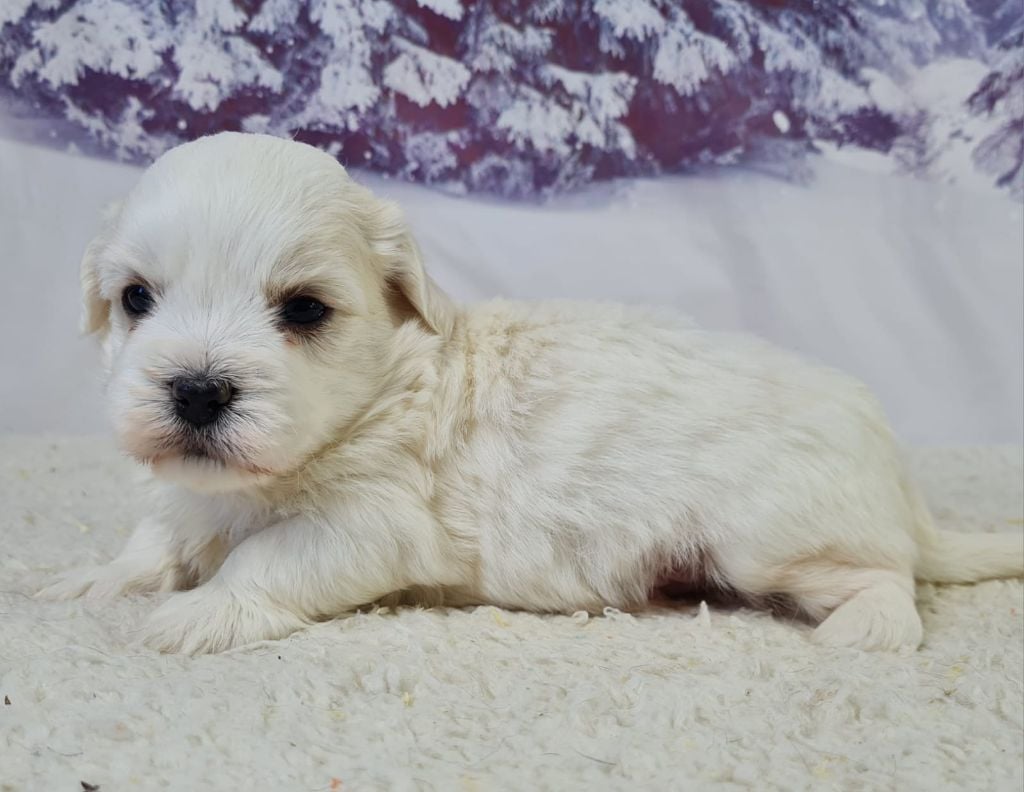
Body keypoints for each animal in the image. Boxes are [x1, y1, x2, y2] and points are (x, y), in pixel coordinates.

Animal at [39, 132, 1023, 654]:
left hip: (776, 539)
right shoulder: (189, 491)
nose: (198, 392)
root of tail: (896, 478)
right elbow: (159, 532)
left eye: (306, 310)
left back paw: (868, 628)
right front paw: (99, 578)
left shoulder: (368, 523)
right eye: (135, 299)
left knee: (890, 578)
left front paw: (200, 610)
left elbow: (269, 560)